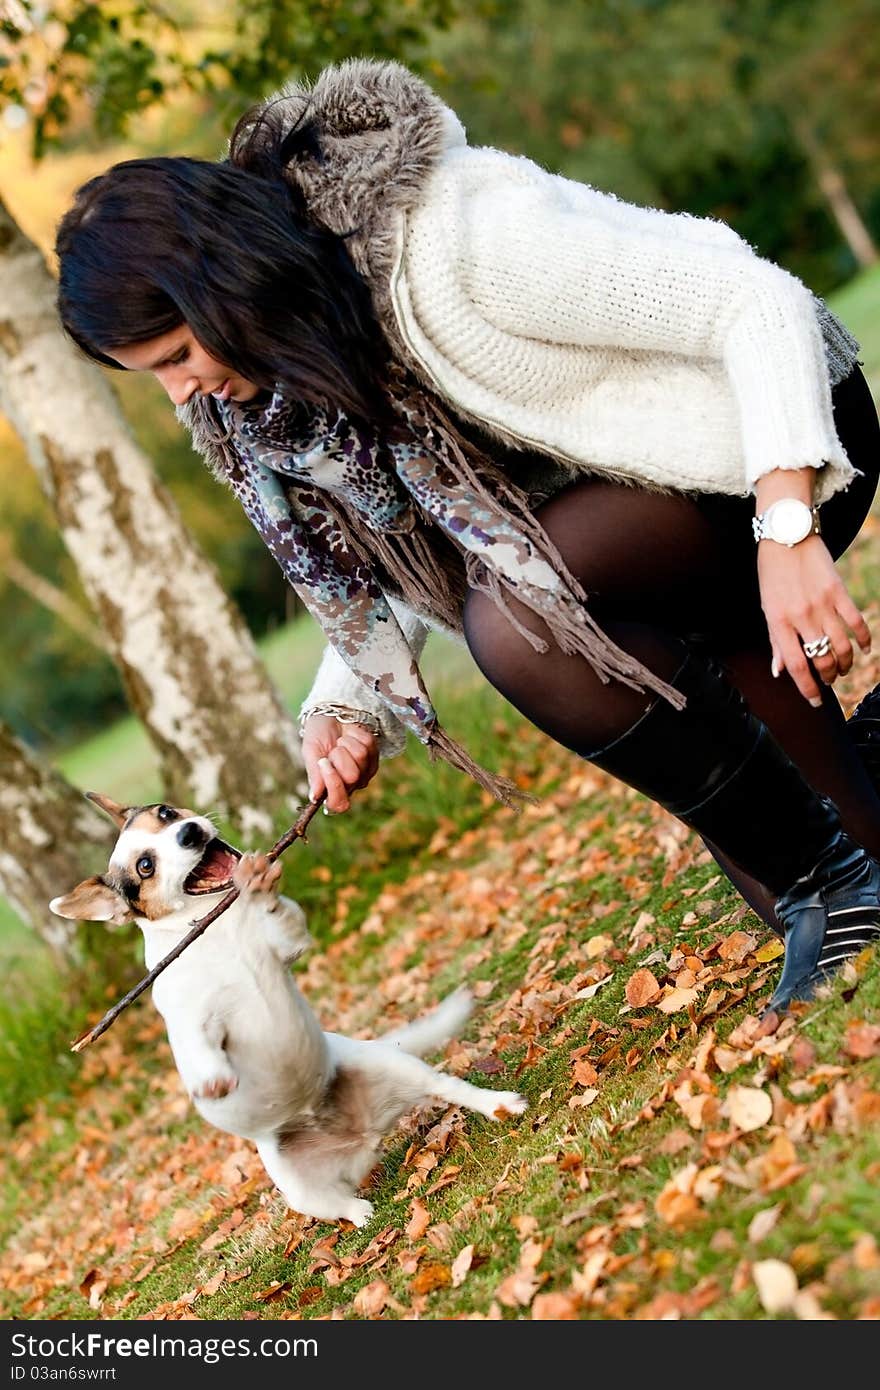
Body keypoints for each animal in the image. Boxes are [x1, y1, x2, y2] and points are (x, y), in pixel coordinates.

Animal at [51, 795, 525, 1228]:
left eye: (166, 813)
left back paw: (500, 1103)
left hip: (398, 1067)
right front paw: (211, 1076)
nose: (188, 832)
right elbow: (199, 1042)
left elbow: (279, 916)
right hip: (299, 1189)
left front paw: (261, 883)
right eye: (145, 866)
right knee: (340, 1204)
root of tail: (364, 1135)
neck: (218, 930)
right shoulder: (196, 1018)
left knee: (449, 1087)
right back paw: (361, 1212)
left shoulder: (288, 943)